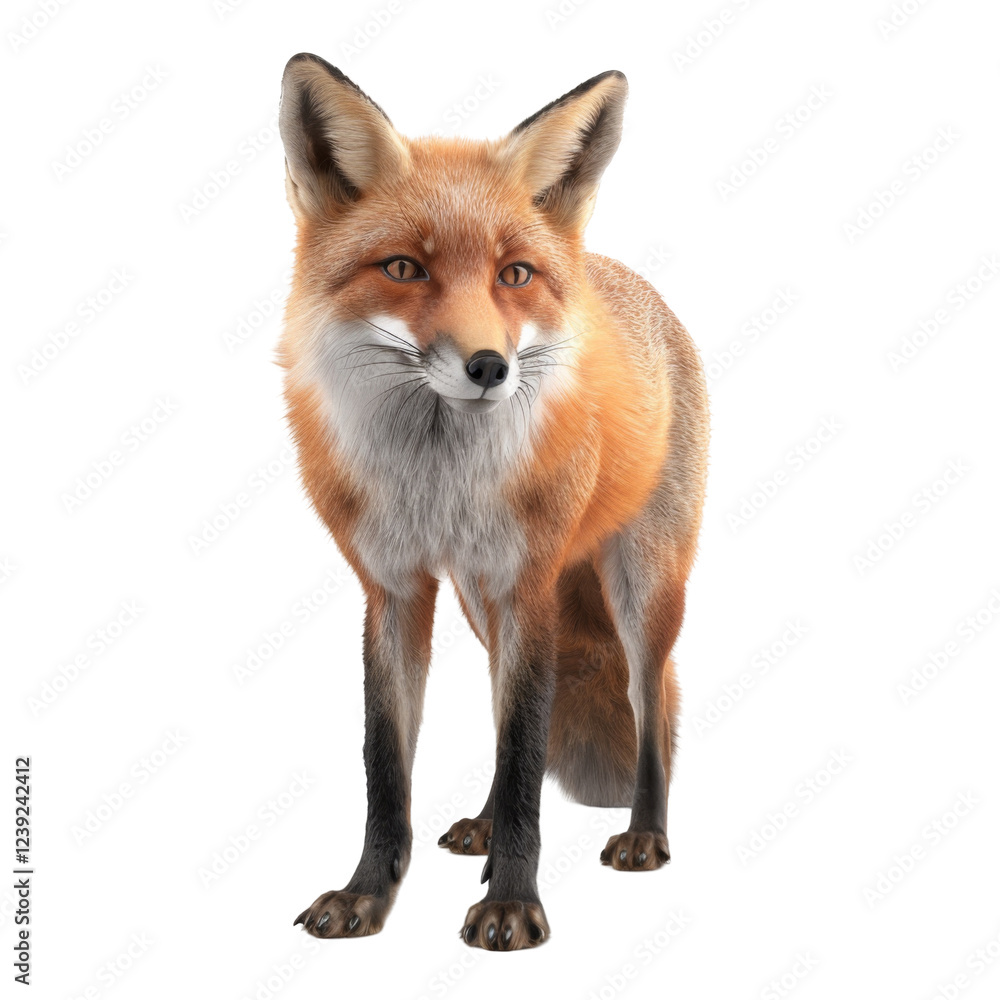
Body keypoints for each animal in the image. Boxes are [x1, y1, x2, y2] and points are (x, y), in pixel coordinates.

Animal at [278, 53, 709, 951]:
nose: (488, 367)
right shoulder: (395, 589)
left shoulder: (526, 584)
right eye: (404, 268)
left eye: (514, 275)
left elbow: (522, 759)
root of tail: (625, 278)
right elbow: (387, 765)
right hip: (483, 606)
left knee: (649, 704)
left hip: (641, 589)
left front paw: (514, 906)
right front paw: (367, 895)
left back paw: (646, 834)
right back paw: (479, 828)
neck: (438, 481)